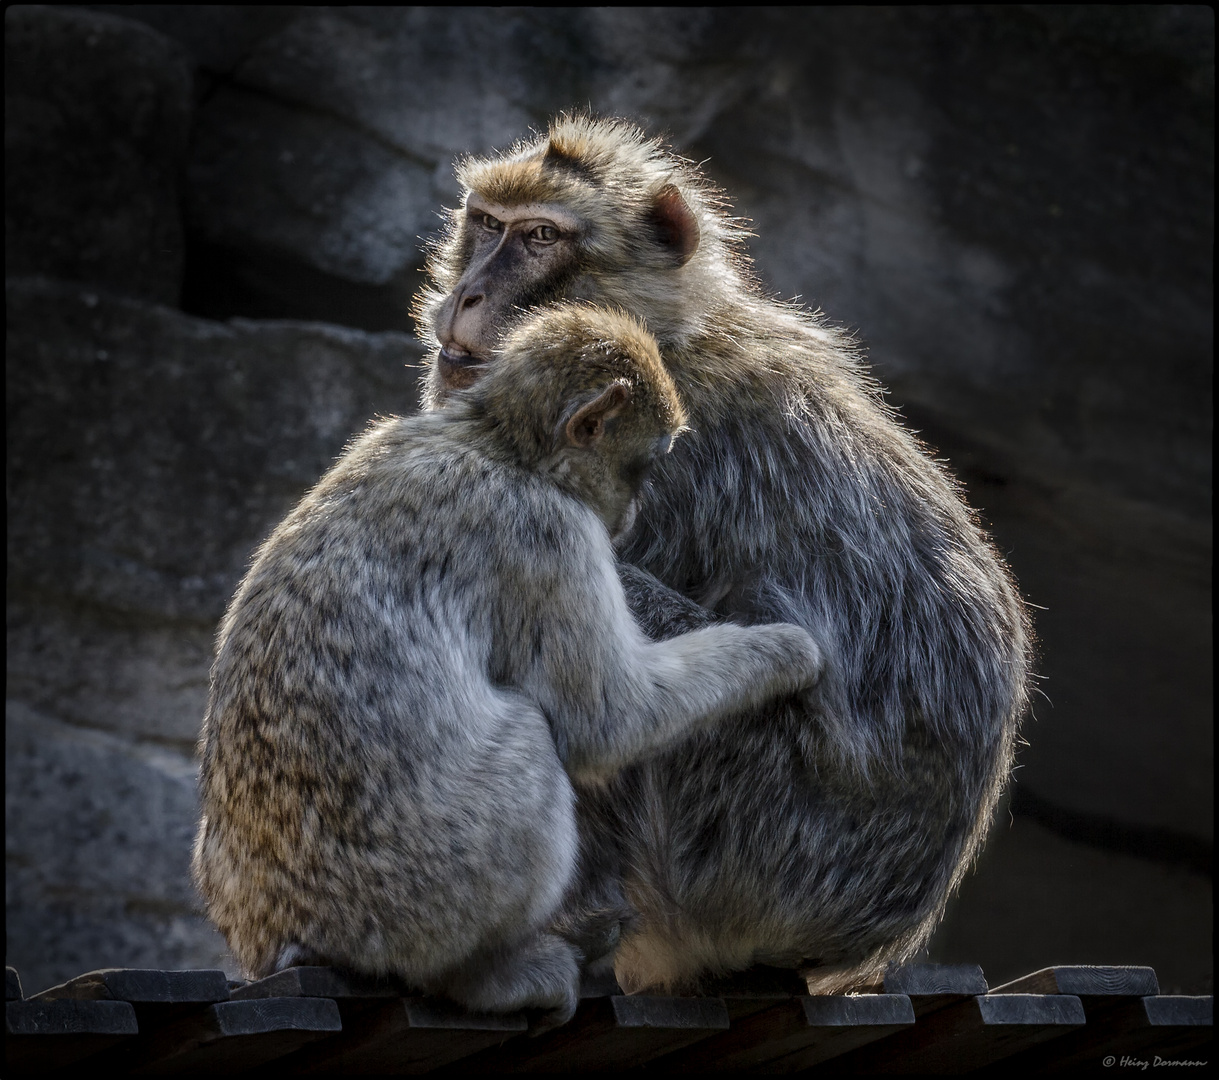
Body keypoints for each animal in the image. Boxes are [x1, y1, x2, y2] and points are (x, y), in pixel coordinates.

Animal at [192, 302, 819, 1023]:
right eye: (643, 466)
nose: (633, 509)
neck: (494, 440)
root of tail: (277, 936)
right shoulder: (552, 532)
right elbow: (610, 720)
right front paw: (783, 649)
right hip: (423, 901)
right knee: (528, 733)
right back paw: (483, 977)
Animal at [414, 116, 1033, 999]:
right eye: (487, 224)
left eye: (539, 238)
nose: (467, 293)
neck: (664, 334)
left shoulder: (647, 462)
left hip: (752, 844)